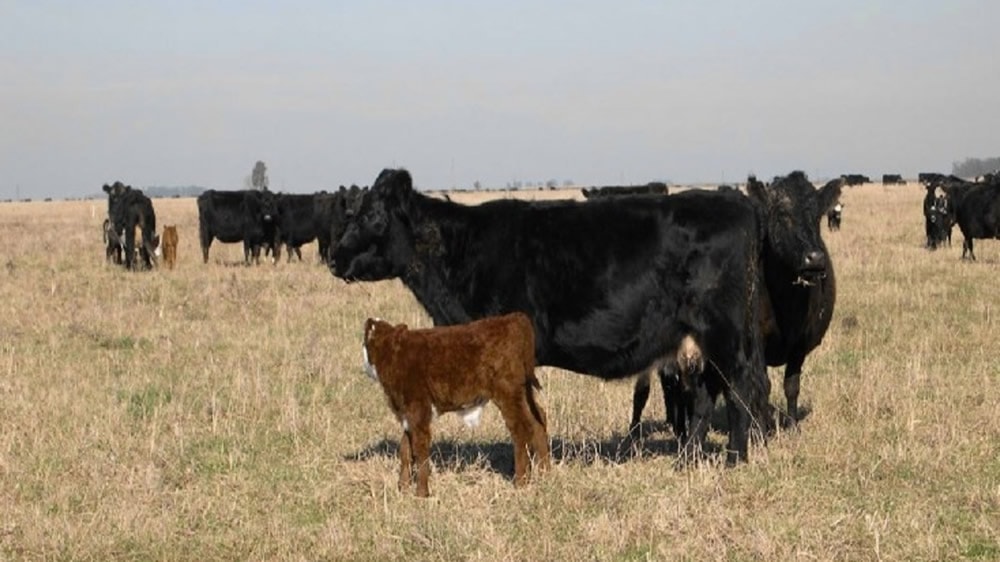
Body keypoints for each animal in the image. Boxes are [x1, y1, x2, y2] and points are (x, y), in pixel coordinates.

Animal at [332, 167, 768, 464]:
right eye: (350, 213)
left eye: (372, 217)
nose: (334, 258)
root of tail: (736, 203)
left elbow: (521, 416)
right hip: (699, 339)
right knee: (708, 393)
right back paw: (688, 460)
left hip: (723, 331)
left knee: (739, 385)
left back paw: (735, 458)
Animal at [362, 312, 552, 496]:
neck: (395, 354)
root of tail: (514, 318)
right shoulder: (406, 414)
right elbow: (405, 449)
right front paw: (402, 487)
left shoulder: (418, 408)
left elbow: (420, 448)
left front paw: (421, 493)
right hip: (524, 392)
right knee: (538, 419)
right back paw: (544, 474)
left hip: (508, 393)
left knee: (521, 428)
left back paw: (520, 482)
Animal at [632, 171, 844, 438]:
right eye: (782, 215)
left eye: (818, 215)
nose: (814, 258)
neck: (785, 300)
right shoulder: (756, 341)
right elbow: (762, 385)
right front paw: (761, 431)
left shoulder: (800, 343)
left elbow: (791, 385)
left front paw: (792, 426)